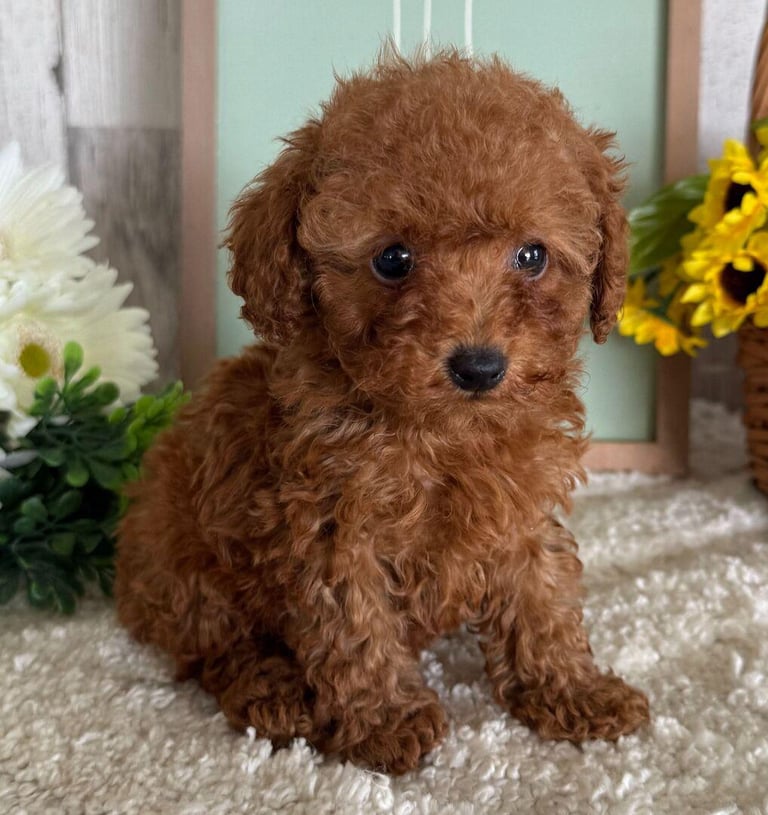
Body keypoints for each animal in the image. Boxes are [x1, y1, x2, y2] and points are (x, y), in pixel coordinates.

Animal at [115, 51, 650, 774]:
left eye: (533, 255)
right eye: (392, 259)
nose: (479, 366)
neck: (445, 430)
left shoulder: (521, 507)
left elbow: (543, 596)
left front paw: (571, 689)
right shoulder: (333, 527)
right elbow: (355, 626)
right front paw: (384, 720)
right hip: (186, 569)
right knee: (215, 648)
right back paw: (272, 691)